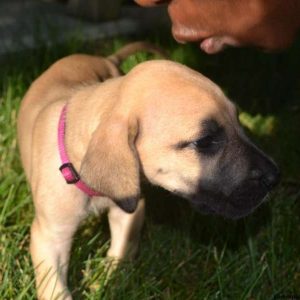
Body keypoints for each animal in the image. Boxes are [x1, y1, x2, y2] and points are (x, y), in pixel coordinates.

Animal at [17, 43, 278, 298]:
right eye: (204, 140)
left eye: (238, 121)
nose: (274, 176)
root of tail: (106, 58)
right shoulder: (49, 237)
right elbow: (54, 287)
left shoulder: (129, 209)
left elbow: (121, 250)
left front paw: (109, 280)